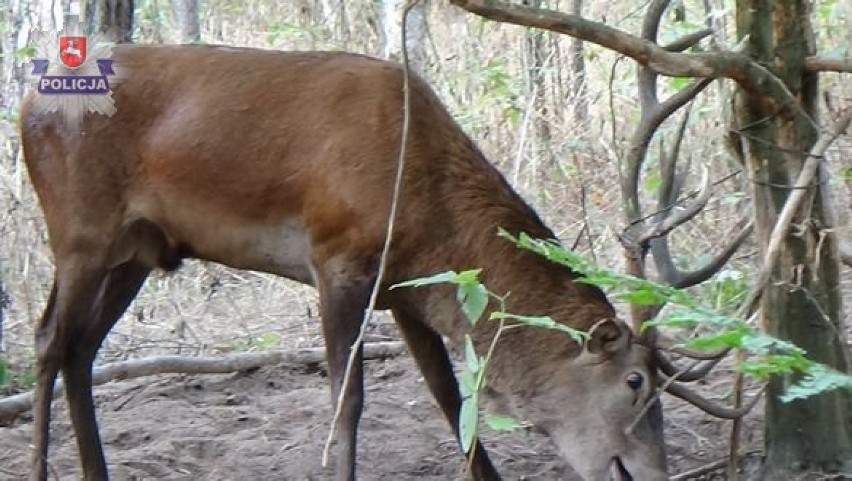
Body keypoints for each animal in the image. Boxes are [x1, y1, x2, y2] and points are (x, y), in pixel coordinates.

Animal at [18, 43, 740, 478]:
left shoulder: (409, 289)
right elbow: (349, 402)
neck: (425, 211)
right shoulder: (337, 257)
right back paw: (41, 467)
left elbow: (452, 397)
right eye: (636, 382)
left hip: (137, 249)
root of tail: (26, 101)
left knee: (82, 348)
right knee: (50, 338)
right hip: (80, 230)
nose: (656, 471)